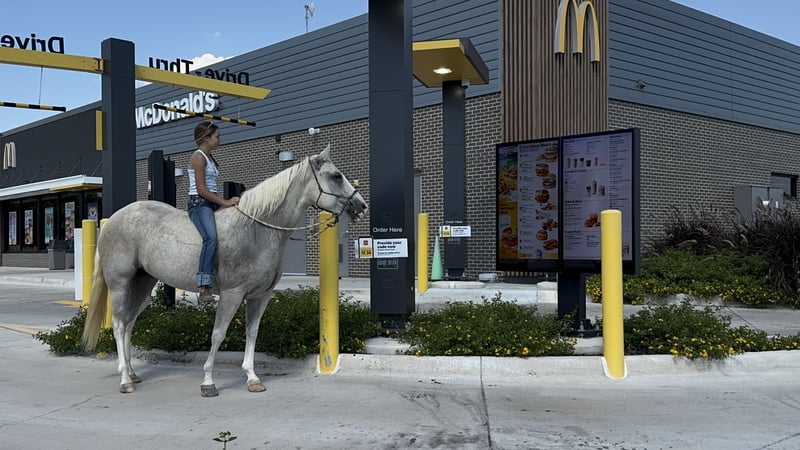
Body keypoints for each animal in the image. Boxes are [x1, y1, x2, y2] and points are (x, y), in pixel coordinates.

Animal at [81, 144, 367, 397]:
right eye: (336, 176)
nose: (361, 206)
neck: (257, 230)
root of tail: (111, 220)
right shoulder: (232, 294)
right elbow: (218, 334)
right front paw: (208, 382)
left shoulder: (260, 296)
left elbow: (252, 333)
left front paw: (252, 378)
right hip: (120, 284)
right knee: (119, 324)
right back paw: (124, 380)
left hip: (143, 283)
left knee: (129, 324)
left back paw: (132, 373)